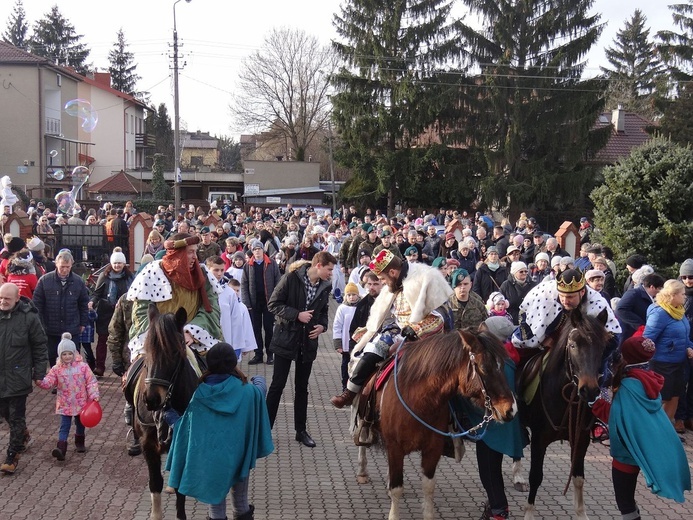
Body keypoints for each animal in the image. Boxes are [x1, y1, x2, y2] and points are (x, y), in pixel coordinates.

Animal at [132, 304, 201, 520]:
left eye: (175, 351)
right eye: (147, 350)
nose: (151, 399)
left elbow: (180, 487)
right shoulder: (148, 443)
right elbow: (155, 483)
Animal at [354, 330, 516, 520]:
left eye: (502, 366)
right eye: (484, 367)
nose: (511, 409)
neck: (419, 400)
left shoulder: (433, 449)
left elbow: (428, 486)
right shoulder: (396, 447)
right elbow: (397, 488)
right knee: (363, 443)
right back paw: (362, 472)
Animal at [520, 308, 608, 520]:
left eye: (602, 347)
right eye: (573, 345)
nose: (589, 390)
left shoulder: (581, 439)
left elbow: (578, 478)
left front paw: (581, 513)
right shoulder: (539, 440)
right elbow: (535, 476)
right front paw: (529, 512)